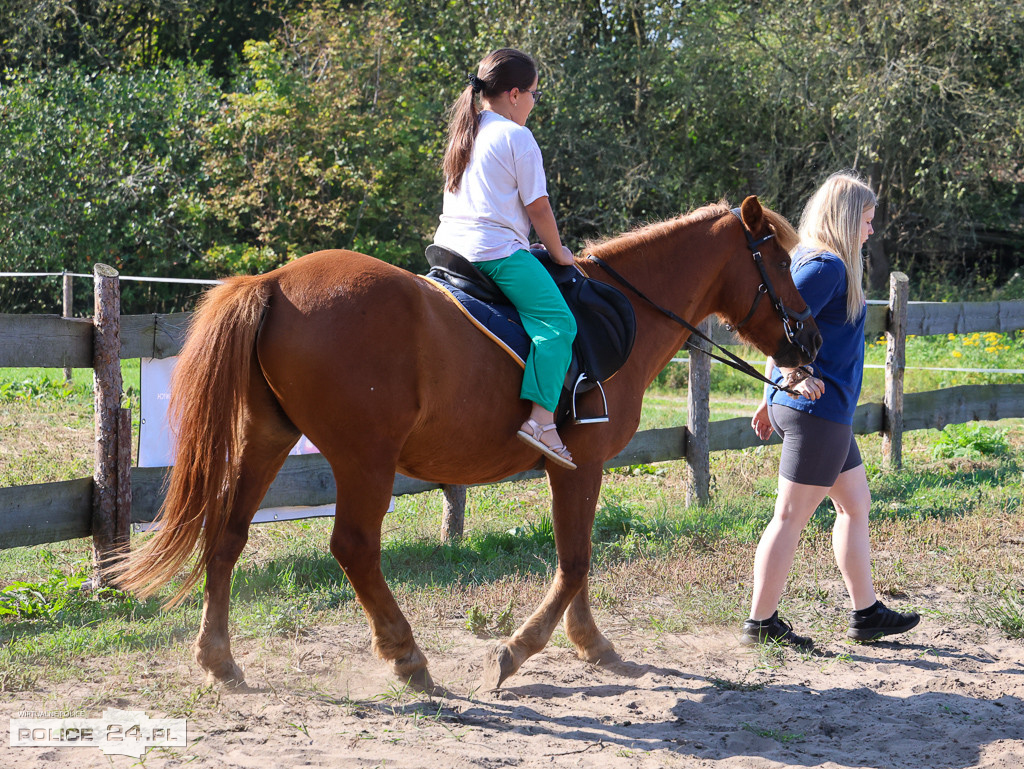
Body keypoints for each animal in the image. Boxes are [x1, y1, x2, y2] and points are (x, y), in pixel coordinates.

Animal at [117, 195, 823, 688]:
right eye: (781, 263)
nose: (811, 340)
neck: (625, 312)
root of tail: (273, 283)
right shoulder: (580, 464)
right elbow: (574, 562)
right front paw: (514, 653)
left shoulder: (577, 469)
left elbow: (578, 559)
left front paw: (593, 645)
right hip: (364, 459)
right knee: (354, 547)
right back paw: (406, 655)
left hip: (267, 439)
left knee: (229, 533)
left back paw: (219, 659)